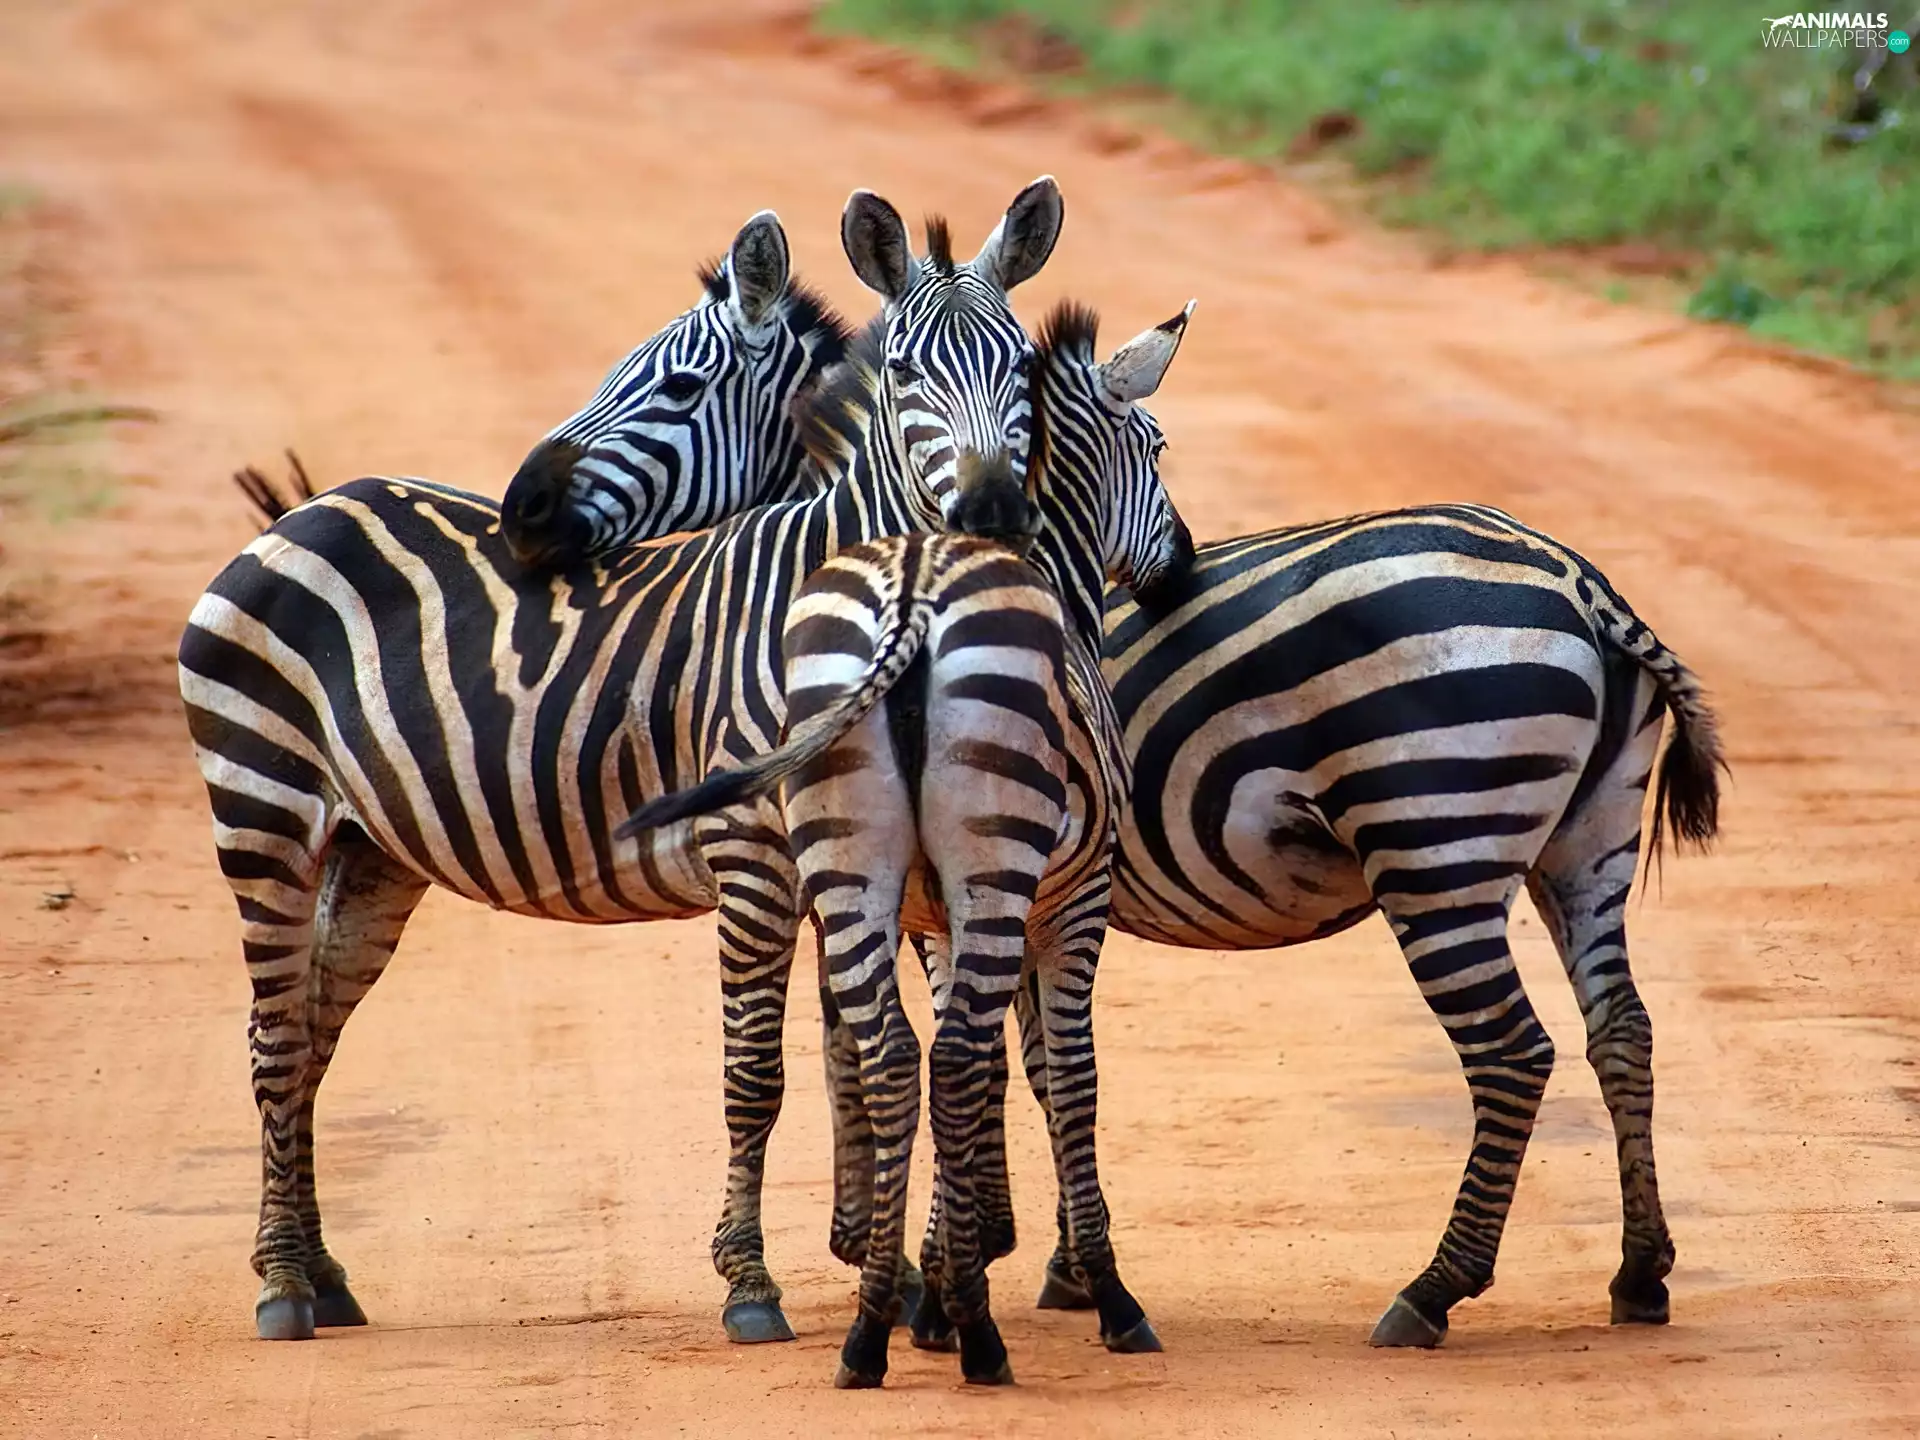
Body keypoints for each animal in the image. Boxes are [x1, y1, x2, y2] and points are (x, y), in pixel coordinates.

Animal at [178, 177, 1068, 1346]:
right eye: (911, 375)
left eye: (1023, 372)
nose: (993, 509)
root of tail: (306, 510)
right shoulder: (750, 858)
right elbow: (757, 1075)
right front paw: (752, 1285)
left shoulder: (835, 860)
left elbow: (854, 1057)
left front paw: (898, 1275)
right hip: (264, 808)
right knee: (275, 1035)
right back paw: (281, 1284)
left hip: (373, 849)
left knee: (309, 1031)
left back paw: (319, 1272)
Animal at [615, 298, 1197, 1386]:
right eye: (1155, 444)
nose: (1183, 567)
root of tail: (912, 605)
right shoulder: (1073, 902)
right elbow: (1063, 1079)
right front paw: (1091, 1288)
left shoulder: (933, 916)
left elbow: (965, 1070)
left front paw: (943, 1265)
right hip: (996, 873)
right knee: (956, 1054)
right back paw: (976, 1336)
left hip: (856, 871)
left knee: (894, 1052)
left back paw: (872, 1327)